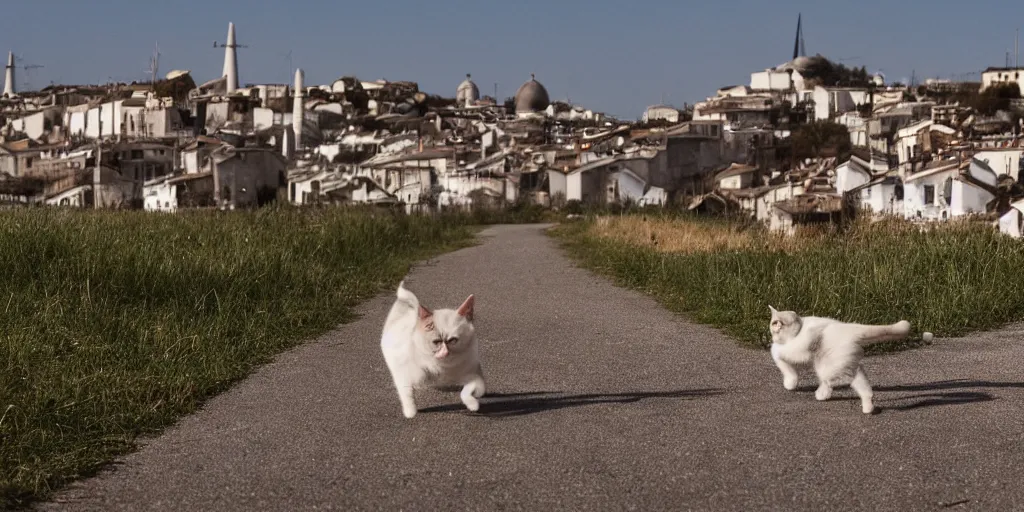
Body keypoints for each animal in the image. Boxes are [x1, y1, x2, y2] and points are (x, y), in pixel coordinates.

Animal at [380, 280, 483, 419]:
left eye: (453, 340)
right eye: (436, 342)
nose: (445, 352)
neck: (442, 367)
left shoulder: (475, 375)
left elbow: (468, 390)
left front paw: (472, 404)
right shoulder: (403, 376)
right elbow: (407, 394)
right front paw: (410, 411)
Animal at [770, 305, 913, 413]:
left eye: (779, 323)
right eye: (773, 323)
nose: (776, 329)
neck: (799, 330)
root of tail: (850, 328)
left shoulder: (793, 351)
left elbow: (780, 358)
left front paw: (790, 383)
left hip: (828, 367)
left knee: (834, 381)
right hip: (844, 364)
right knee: (861, 384)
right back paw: (867, 407)